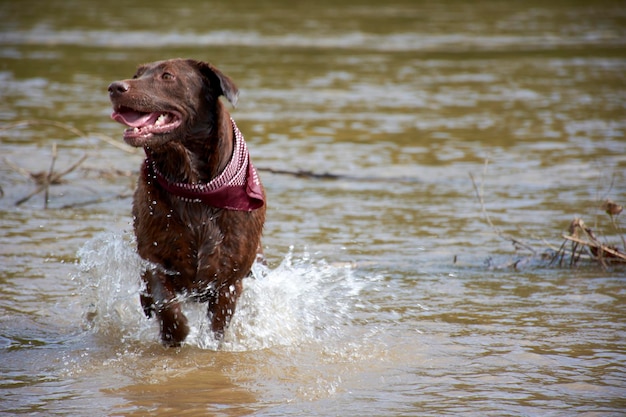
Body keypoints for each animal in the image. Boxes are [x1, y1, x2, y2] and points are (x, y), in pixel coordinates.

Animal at [107, 58, 264, 344]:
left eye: (167, 76)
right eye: (137, 75)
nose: (115, 87)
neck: (194, 186)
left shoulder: (229, 281)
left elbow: (217, 325)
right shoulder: (154, 257)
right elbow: (163, 299)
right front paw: (175, 332)